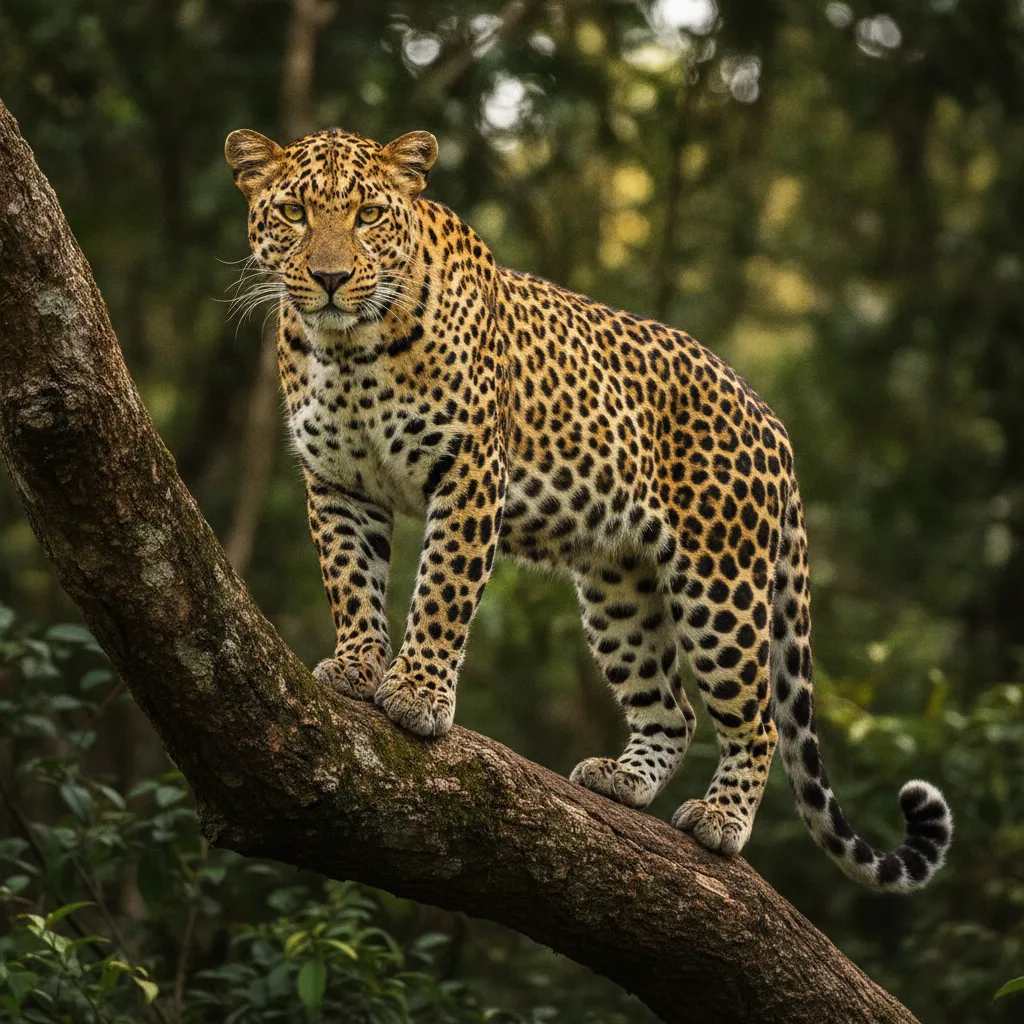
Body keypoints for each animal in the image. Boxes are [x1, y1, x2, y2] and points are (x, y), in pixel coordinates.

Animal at [225, 125, 953, 892]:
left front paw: (418, 693)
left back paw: (721, 819)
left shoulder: (470, 470)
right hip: (620, 590)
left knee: (757, 720)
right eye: (296, 213)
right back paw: (622, 780)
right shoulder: (339, 485)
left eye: (367, 215)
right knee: (674, 710)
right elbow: (351, 582)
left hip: (721, 589)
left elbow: (443, 589)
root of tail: (773, 422)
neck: (348, 351)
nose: (331, 278)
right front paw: (358, 666)